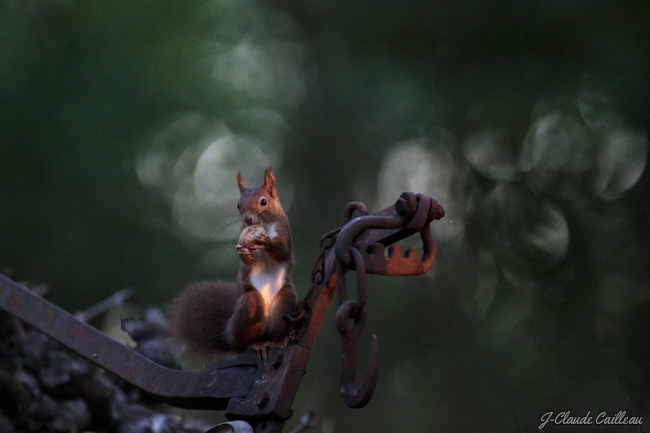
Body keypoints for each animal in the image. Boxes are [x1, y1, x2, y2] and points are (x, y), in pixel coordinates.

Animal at [170, 166, 296, 364]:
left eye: (264, 201)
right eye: (238, 205)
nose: (247, 219)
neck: (265, 226)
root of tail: (227, 333)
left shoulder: (284, 231)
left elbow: (282, 251)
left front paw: (267, 242)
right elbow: (248, 260)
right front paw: (243, 253)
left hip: (285, 300)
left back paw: (277, 342)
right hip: (248, 306)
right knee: (243, 341)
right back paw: (255, 344)